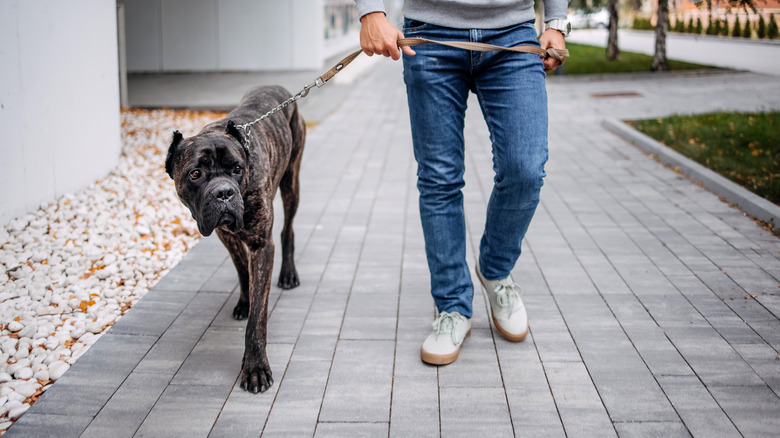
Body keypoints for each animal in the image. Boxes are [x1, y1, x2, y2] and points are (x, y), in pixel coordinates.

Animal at [165, 86, 304, 394]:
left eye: (237, 169)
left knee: (288, 229)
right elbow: (242, 270)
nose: (224, 193)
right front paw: (244, 301)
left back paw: (288, 274)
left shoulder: (261, 245)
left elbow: (257, 319)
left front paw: (255, 367)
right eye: (195, 173)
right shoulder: (225, 234)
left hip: (291, 179)